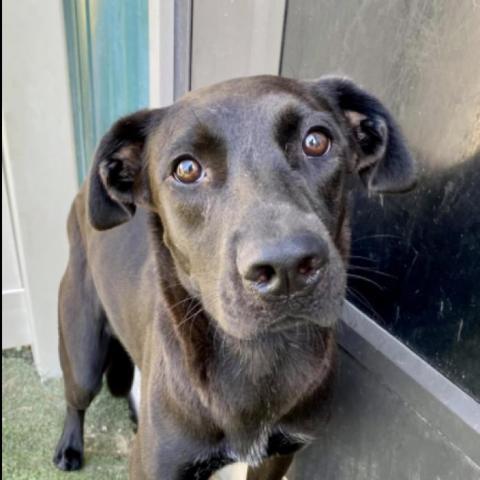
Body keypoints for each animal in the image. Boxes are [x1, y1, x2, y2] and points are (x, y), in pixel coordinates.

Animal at [51, 74, 412, 476]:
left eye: (316, 141)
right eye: (186, 169)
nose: (287, 267)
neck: (259, 359)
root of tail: (83, 192)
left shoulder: (278, 455)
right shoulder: (156, 466)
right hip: (82, 352)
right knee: (75, 398)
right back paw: (69, 446)